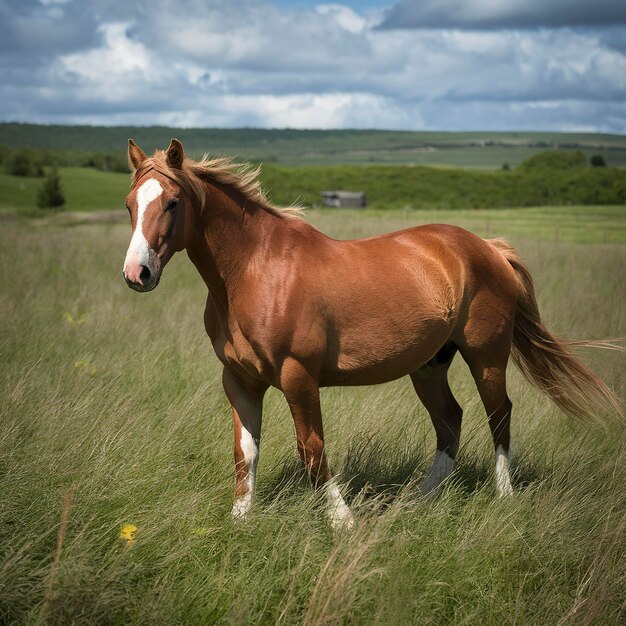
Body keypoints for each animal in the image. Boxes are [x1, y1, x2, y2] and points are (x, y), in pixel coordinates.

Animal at [122, 140, 620, 528]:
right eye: (130, 204)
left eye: (172, 202)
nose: (136, 274)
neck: (256, 271)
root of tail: (489, 248)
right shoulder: (240, 381)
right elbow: (245, 452)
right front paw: (240, 521)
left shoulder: (298, 378)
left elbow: (312, 450)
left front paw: (342, 521)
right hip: (430, 365)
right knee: (450, 421)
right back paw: (417, 502)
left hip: (487, 357)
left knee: (499, 417)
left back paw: (503, 497)